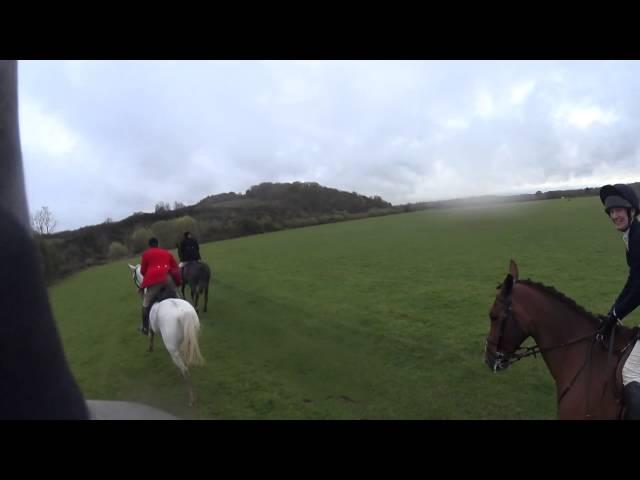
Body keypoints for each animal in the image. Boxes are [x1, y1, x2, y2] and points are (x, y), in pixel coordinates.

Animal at [127, 262, 202, 404]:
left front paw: (150, 347)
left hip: (173, 348)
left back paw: (191, 398)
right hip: (188, 340)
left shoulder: (151, 329)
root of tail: (184, 314)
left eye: (134, 277)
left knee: (185, 369)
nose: (138, 290)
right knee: (185, 361)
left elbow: (150, 336)